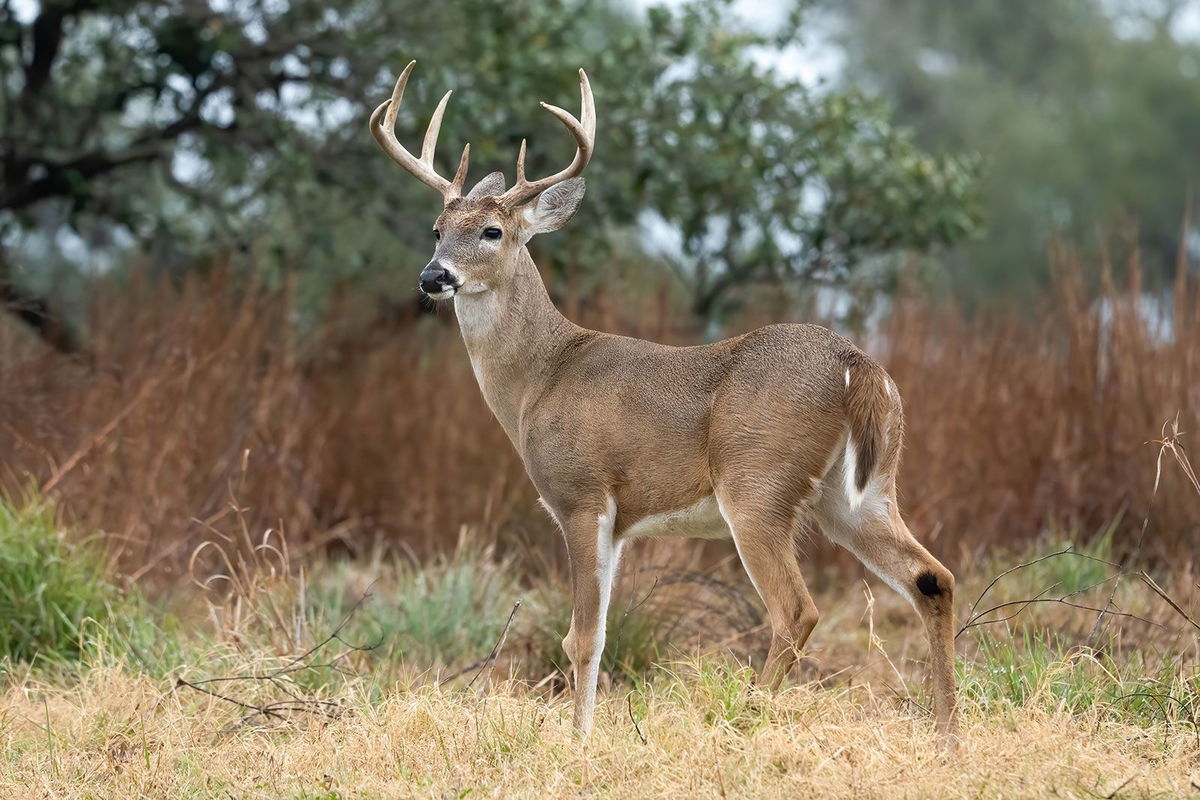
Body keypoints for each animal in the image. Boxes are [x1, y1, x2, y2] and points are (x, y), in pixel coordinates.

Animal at [369, 61, 960, 738]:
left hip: (757, 481)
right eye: (438, 230)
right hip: (861, 490)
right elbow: (595, 636)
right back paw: (948, 734)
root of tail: (856, 365)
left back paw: (746, 719)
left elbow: (581, 637)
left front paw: (577, 740)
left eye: (492, 231)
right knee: (931, 578)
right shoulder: (622, 522)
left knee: (796, 610)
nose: (432, 276)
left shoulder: (580, 494)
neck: (540, 379)